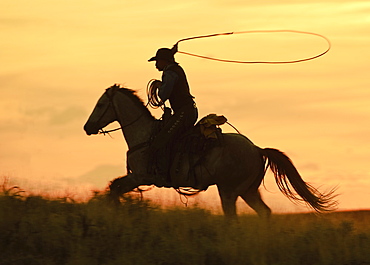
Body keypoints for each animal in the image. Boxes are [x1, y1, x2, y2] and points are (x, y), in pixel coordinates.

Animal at [84, 84, 338, 217]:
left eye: (100, 104)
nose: (87, 127)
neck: (146, 136)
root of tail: (256, 149)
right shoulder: (136, 178)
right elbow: (113, 187)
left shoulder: (141, 176)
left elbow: (115, 188)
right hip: (248, 190)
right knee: (264, 212)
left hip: (229, 191)